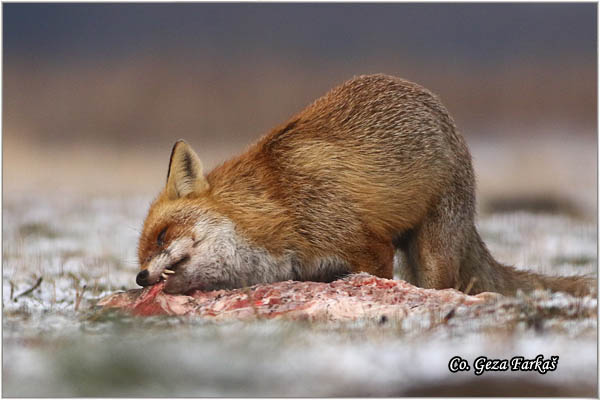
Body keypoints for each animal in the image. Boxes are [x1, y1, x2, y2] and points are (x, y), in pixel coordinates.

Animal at [137, 73, 596, 296]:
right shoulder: (313, 271)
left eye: (162, 236)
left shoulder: (369, 246)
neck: (279, 205)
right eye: (140, 255)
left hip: (431, 251)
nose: (141, 278)